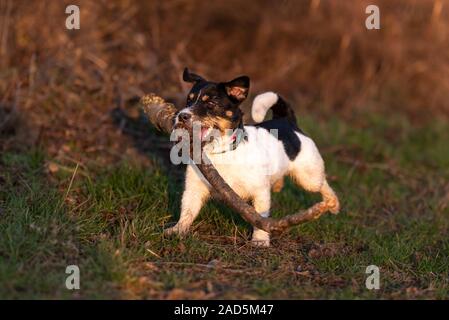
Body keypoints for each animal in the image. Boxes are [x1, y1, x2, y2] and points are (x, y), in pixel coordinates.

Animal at [163, 69, 338, 246]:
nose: (182, 116)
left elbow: (260, 218)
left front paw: (260, 241)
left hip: (309, 178)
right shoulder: (194, 188)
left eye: (211, 103)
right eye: (188, 100)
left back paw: (332, 203)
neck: (221, 153)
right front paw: (177, 230)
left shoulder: (260, 192)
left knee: (323, 184)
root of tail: (287, 121)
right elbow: (187, 211)